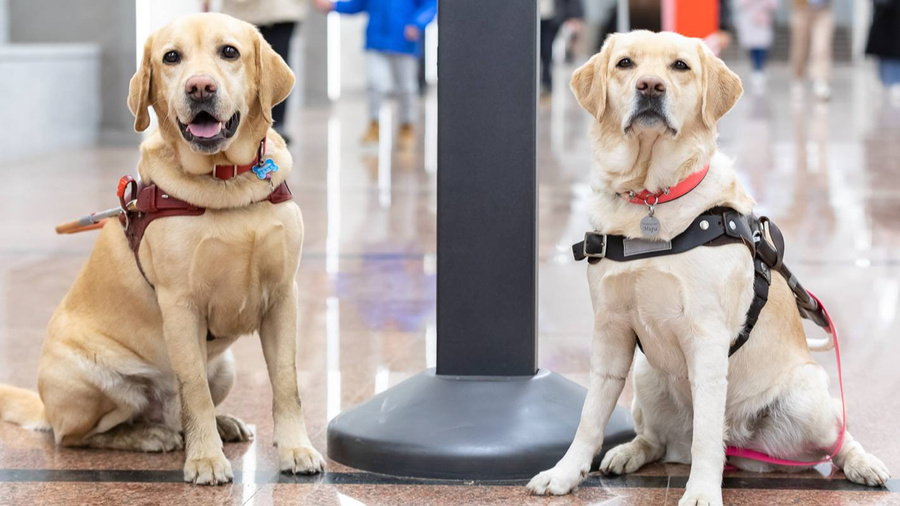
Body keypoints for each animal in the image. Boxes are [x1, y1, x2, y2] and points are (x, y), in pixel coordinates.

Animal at [0, 13, 324, 484]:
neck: (225, 182)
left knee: (180, 410)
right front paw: (205, 459)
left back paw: (219, 425)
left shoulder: (283, 297)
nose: (200, 87)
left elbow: (286, 383)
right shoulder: (181, 305)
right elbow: (194, 390)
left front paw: (296, 449)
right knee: (79, 436)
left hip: (226, 367)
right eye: (172, 57)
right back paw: (150, 435)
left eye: (229, 51)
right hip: (90, 380)